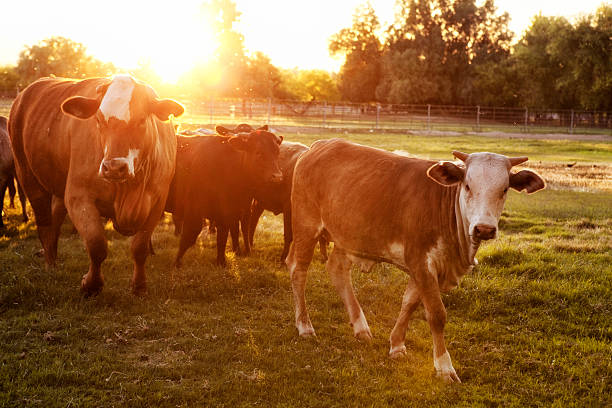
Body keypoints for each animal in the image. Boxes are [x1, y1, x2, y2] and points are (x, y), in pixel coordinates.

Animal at [10, 75, 182, 294]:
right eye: (99, 121)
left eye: (142, 120)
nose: (114, 167)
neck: (130, 188)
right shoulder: (78, 197)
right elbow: (96, 244)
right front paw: (91, 284)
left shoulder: (157, 202)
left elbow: (140, 247)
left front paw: (139, 285)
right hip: (28, 177)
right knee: (45, 225)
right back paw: (50, 264)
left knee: (55, 219)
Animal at [286, 139, 544, 382]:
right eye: (468, 185)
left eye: (504, 189)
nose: (484, 229)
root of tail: (319, 146)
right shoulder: (421, 261)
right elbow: (437, 315)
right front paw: (444, 367)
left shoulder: (426, 269)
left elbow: (409, 303)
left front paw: (397, 344)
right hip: (306, 226)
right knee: (299, 271)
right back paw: (305, 325)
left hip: (347, 236)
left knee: (337, 270)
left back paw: (360, 327)